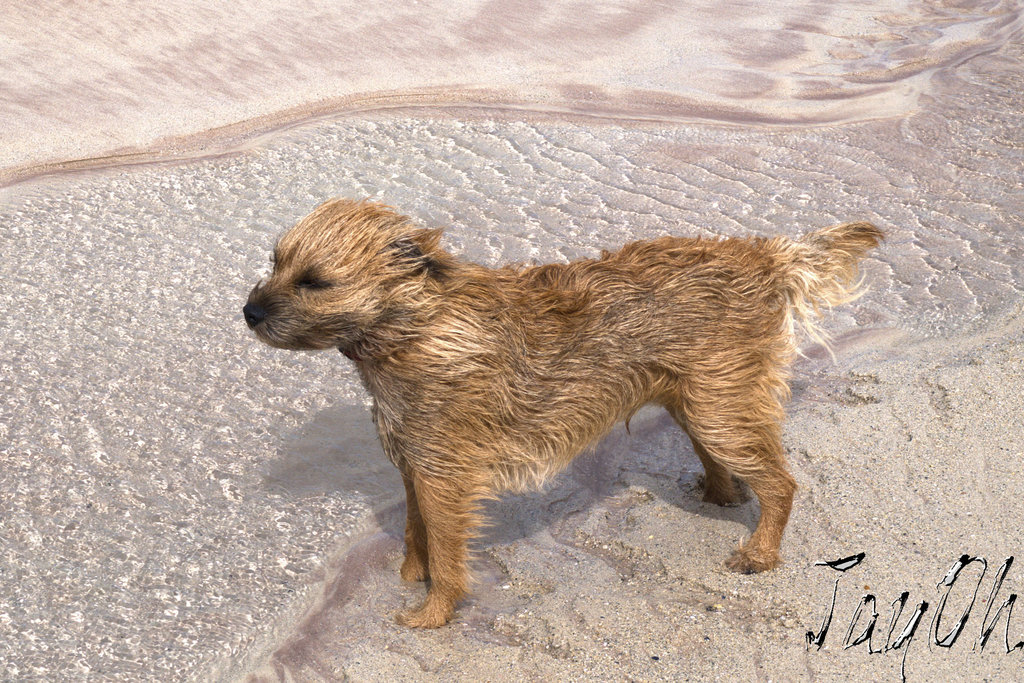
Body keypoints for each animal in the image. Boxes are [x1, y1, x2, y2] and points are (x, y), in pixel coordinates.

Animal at [243, 194, 884, 626]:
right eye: (274, 263)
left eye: (314, 282)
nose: (249, 310)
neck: (415, 328)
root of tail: (763, 255)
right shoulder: (414, 464)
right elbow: (414, 530)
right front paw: (410, 577)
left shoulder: (444, 475)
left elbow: (447, 550)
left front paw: (433, 611)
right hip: (698, 400)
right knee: (730, 465)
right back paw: (717, 494)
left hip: (718, 408)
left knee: (782, 482)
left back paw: (760, 553)